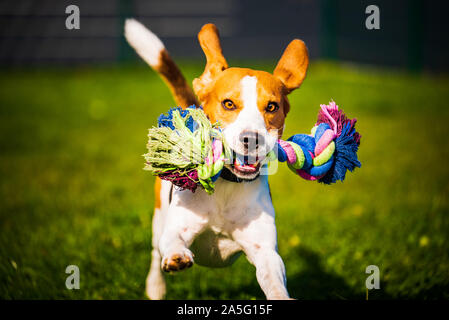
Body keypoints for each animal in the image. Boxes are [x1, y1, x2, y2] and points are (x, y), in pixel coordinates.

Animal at [125, 19, 308, 300]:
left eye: (272, 107)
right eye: (229, 103)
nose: (251, 139)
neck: (226, 185)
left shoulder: (265, 250)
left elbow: (274, 278)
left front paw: (281, 296)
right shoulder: (177, 227)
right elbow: (172, 242)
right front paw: (176, 256)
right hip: (158, 219)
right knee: (156, 252)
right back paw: (155, 287)